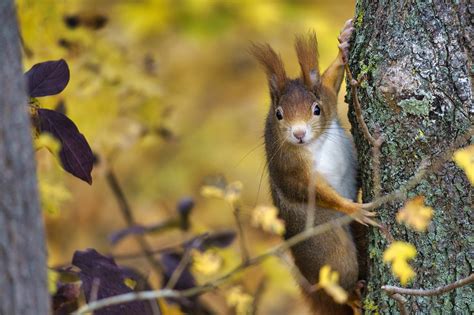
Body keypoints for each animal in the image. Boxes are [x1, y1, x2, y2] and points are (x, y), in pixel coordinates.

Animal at [250, 21, 376, 314]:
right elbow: (317, 192)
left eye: (316, 109)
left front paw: (344, 42)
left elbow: (331, 80)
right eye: (279, 114)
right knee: (339, 282)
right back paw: (353, 298)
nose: (299, 134)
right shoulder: (291, 169)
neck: (315, 142)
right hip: (331, 253)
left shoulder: (328, 97)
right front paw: (354, 208)